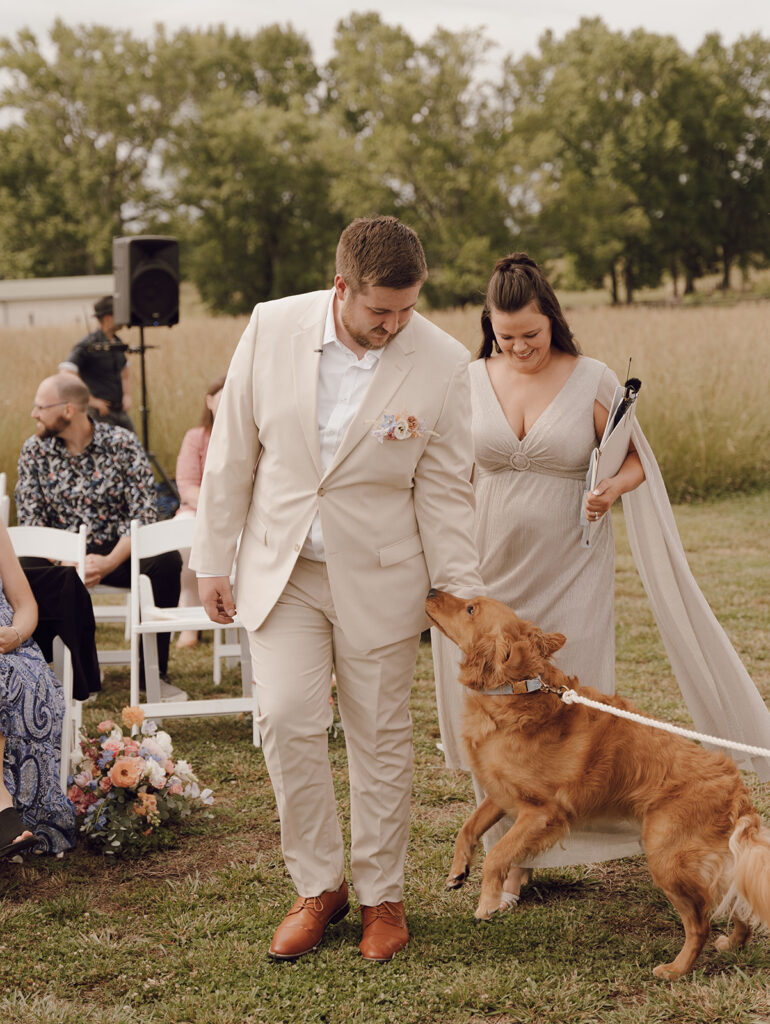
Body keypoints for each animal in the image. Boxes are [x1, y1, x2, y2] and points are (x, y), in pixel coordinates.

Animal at [423, 589, 770, 978]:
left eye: (471, 609)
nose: (431, 590)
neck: (516, 691)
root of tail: (735, 789)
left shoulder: (542, 813)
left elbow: (497, 854)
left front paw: (487, 903)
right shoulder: (502, 795)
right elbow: (467, 829)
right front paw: (458, 871)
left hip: (665, 858)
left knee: (700, 923)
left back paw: (676, 969)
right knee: (736, 896)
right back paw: (734, 943)